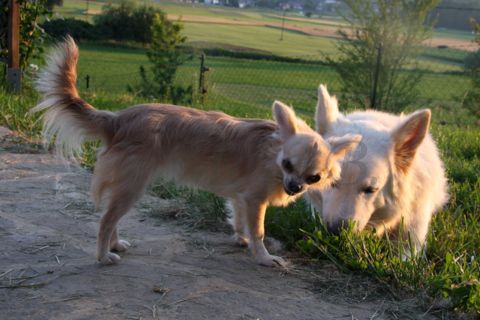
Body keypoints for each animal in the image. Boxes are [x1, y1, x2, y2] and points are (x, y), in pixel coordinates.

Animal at [31, 37, 360, 268]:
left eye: (314, 177)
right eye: (287, 164)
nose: (294, 188)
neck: (274, 150)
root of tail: (118, 119)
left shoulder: (241, 198)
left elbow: (240, 221)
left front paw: (241, 240)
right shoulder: (255, 200)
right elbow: (259, 231)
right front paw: (264, 257)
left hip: (127, 187)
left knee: (110, 218)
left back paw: (115, 245)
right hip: (133, 186)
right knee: (105, 221)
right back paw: (103, 256)